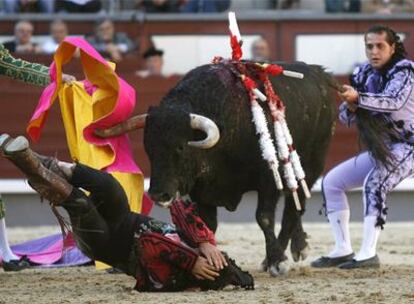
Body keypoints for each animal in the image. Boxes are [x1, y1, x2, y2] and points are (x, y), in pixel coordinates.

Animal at [101, 61, 340, 276]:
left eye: (180, 146)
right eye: (148, 147)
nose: (158, 194)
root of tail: (318, 72)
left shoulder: (268, 180)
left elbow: (263, 217)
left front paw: (277, 261)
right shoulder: (202, 189)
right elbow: (208, 225)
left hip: (313, 162)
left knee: (294, 205)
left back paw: (282, 255)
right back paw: (297, 246)